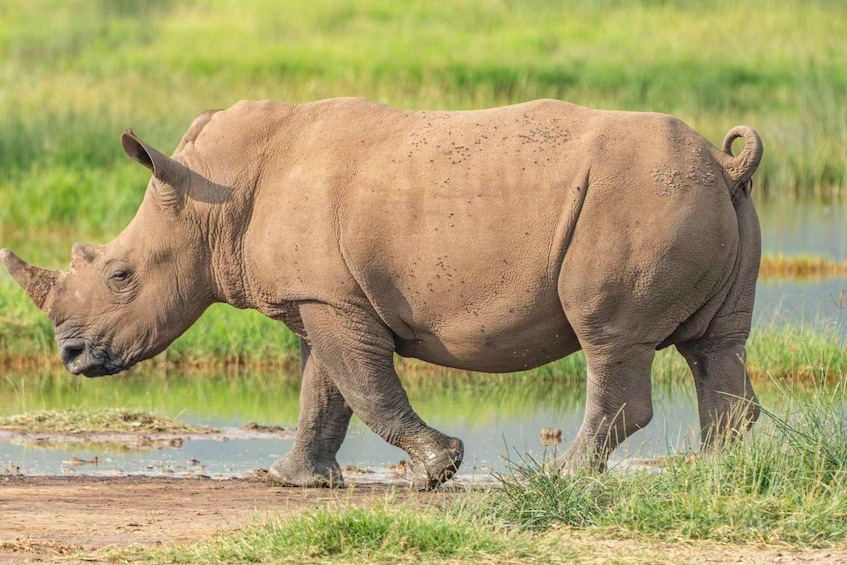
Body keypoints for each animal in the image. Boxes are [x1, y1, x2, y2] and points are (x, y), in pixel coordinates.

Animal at [1, 98, 763, 489]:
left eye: (120, 276)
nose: (70, 356)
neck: (211, 196)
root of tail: (725, 161)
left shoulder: (332, 300)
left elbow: (365, 388)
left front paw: (436, 470)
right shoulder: (321, 296)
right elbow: (323, 391)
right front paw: (292, 480)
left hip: (634, 200)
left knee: (609, 340)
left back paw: (562, 477)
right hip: (702, 198)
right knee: (714, 346)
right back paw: (717, 474)